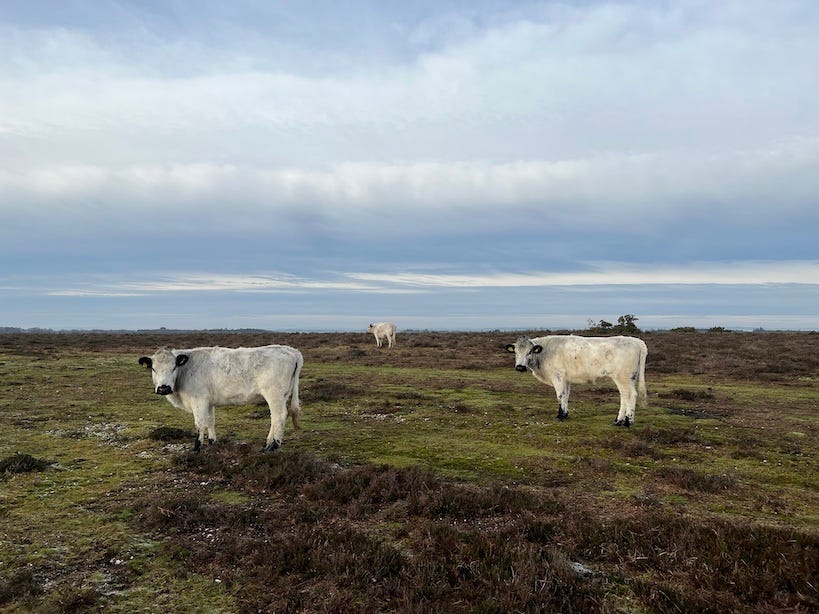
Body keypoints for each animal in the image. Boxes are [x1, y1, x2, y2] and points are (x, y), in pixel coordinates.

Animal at [139, 344, 302, 454]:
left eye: (174, 367)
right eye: (153, 368)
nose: (163, 388)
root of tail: (292, 351)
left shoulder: (199, 400)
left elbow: (200, 423)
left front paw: (196, 448)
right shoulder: (209, 402)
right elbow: (210, 421)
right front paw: (212, 442)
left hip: (274, 395)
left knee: (279, 416)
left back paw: (273, 446)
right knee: (274, 418)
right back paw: (267, 444)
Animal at [502, 336, 652, 428]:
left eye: (530, 352)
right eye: (516, 352)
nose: (520, 367)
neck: (545, 353)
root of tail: (636, 340)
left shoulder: (558, 377)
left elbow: (560, 395)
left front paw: (560, 416)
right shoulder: (566, 379)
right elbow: (566, 396)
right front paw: (565, 414)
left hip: (623, 377)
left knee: (631, 395)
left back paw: (627, 422)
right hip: (625, 378)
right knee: (624, 396)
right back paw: (618, 421)